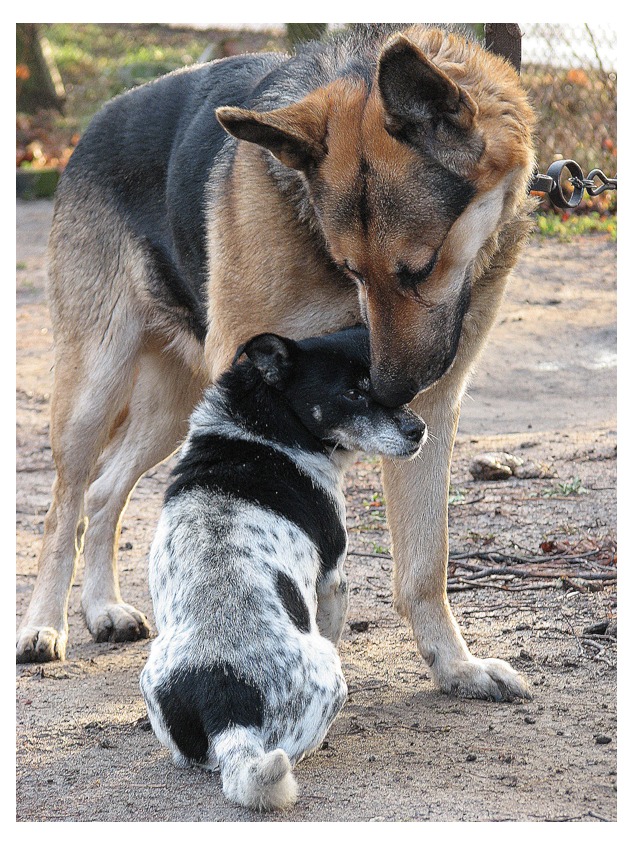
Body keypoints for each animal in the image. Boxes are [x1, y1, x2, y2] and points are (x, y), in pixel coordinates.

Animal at [17, 24, 532, 700]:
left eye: (419, 269)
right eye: (349, 268)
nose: (395, 391)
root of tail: (96, 122)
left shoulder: (435, 408)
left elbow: (424, 565)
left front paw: (456, 668)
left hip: (170, 411)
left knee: (104, 492)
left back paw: (103, 609)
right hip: (93, 389)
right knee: (64, 507)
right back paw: (43, 625)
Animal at [138, 326, 424, 808]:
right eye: (352, 393)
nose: (419, 429)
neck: (259, 429)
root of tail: (228, 703)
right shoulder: (333, 580)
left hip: (154, 681)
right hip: (330, 681)